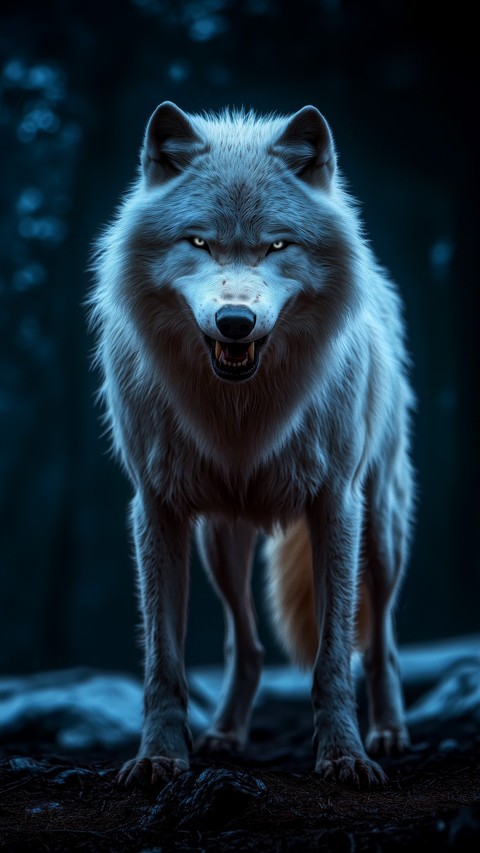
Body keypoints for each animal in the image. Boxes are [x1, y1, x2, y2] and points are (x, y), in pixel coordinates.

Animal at [89, 101, 415, 788]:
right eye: (199, 242)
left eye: (276, 245)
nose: (235, 322)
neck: (240, 411)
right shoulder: (156, 507)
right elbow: (164, 662)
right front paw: (158, 758)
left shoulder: (335, 505)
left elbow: (332, 657)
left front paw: (345, 756)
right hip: (221, 542)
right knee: (250, 645)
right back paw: (225, 735)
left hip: (381, 530)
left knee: (382, 642)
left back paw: (389, 731)